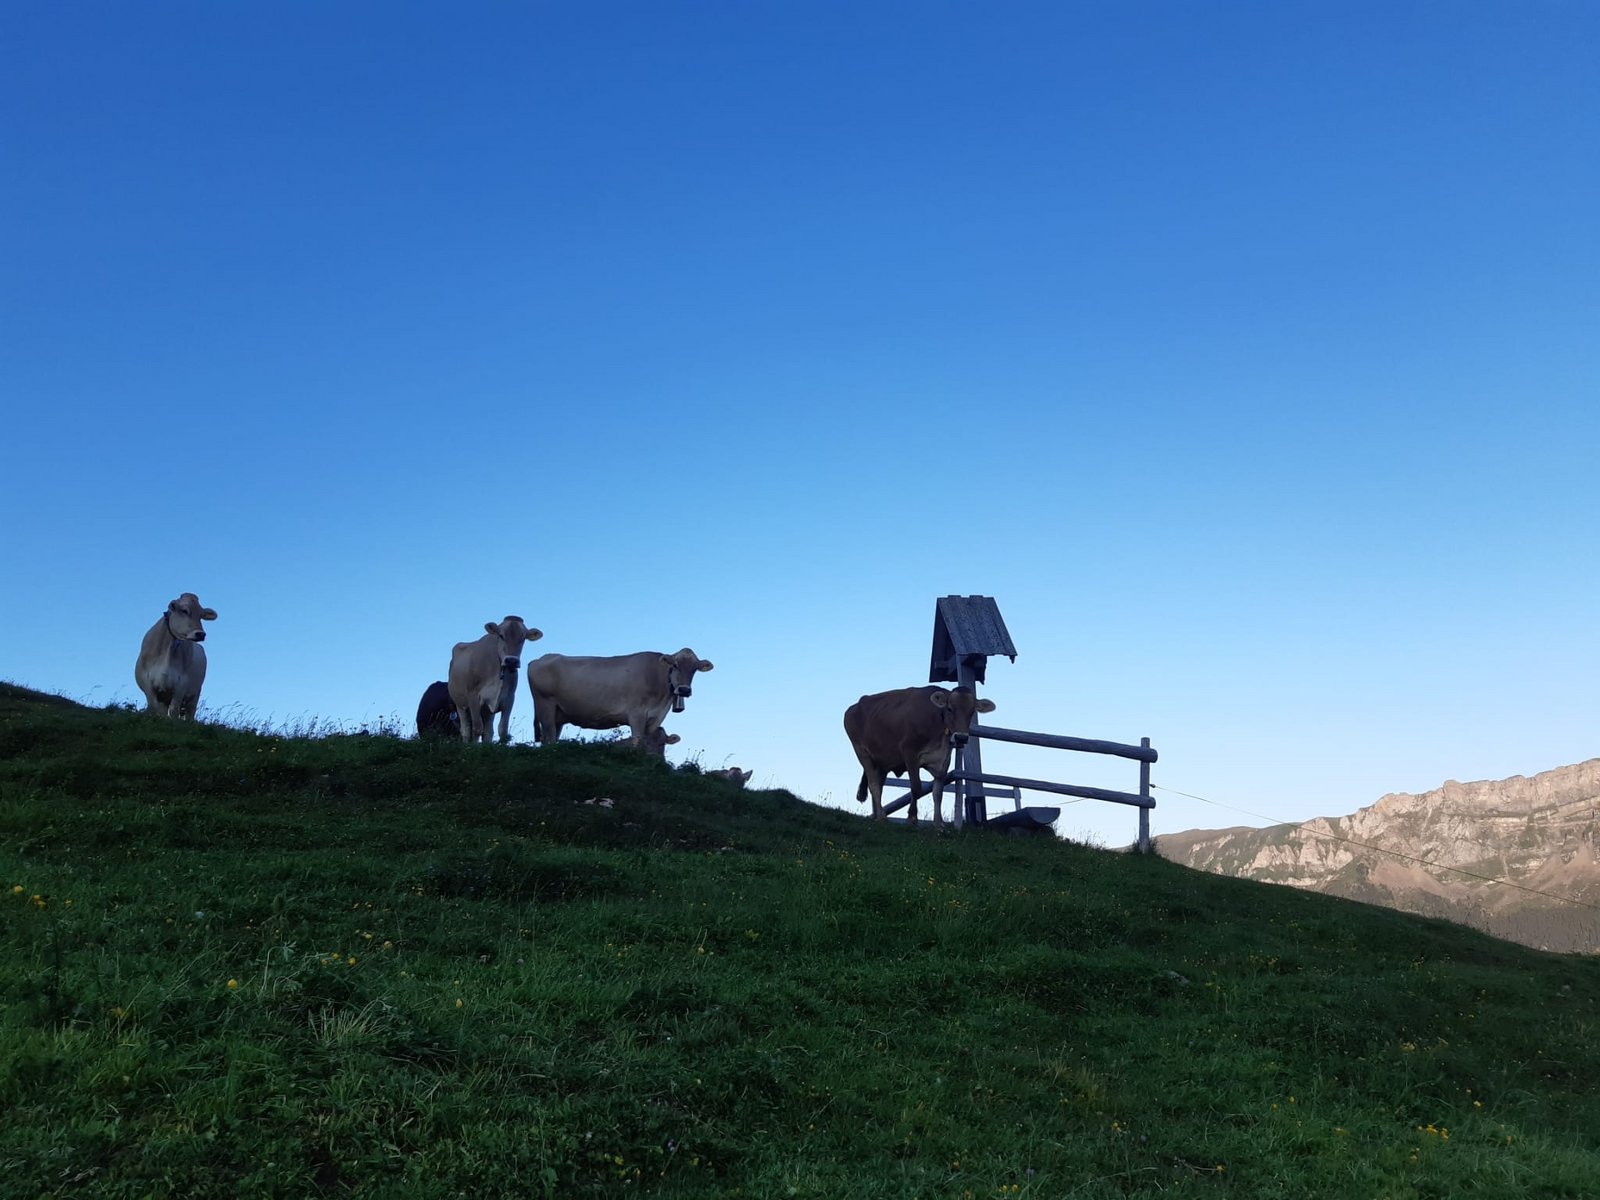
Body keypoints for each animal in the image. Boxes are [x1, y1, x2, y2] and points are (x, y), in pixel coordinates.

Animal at [527, 648, 714, 748]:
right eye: (675, 665)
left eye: (695, 668)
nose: (684, 690)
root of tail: (540, 658)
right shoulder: (637, 714)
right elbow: (638, 743)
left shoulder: (655, 718)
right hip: (545, 706)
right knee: (548, 739)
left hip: (558, 714)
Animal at [843, 685, 996, 826]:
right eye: (950, 709)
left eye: (972, 712)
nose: (961, 737)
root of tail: (854, 706)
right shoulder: (909, 752)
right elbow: (916, 787)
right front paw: (912, 817)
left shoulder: (944, 760)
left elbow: (938, 792)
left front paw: (938, 823)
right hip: (862, 753)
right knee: (873, 784)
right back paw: (881, 816)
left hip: (883, 761)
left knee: (878, 785)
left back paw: (876, 815)